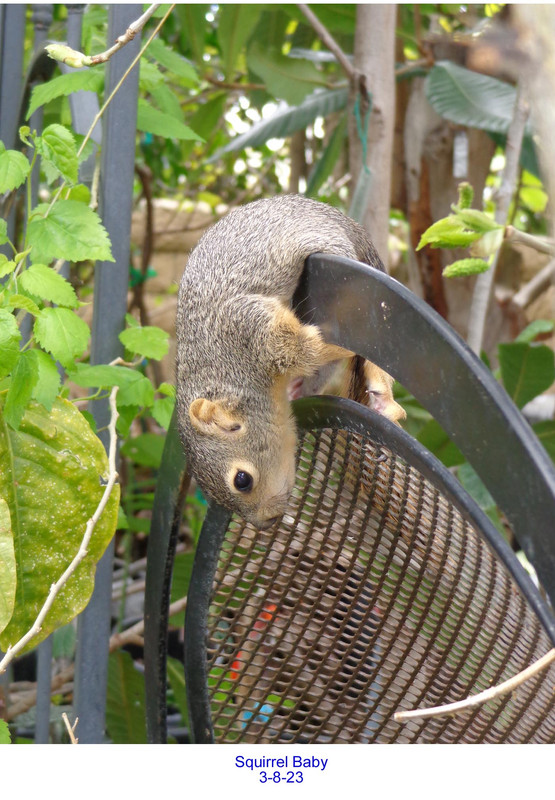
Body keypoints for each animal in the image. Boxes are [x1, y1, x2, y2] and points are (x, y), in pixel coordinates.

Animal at [176, 194, 405, 530]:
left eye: (242, 480)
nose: (266, 523)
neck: (224, 368)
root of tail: (344, 221)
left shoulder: (250, 328)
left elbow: (308, 348)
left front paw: (337, 346)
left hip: (335, 248)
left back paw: (383, 398)